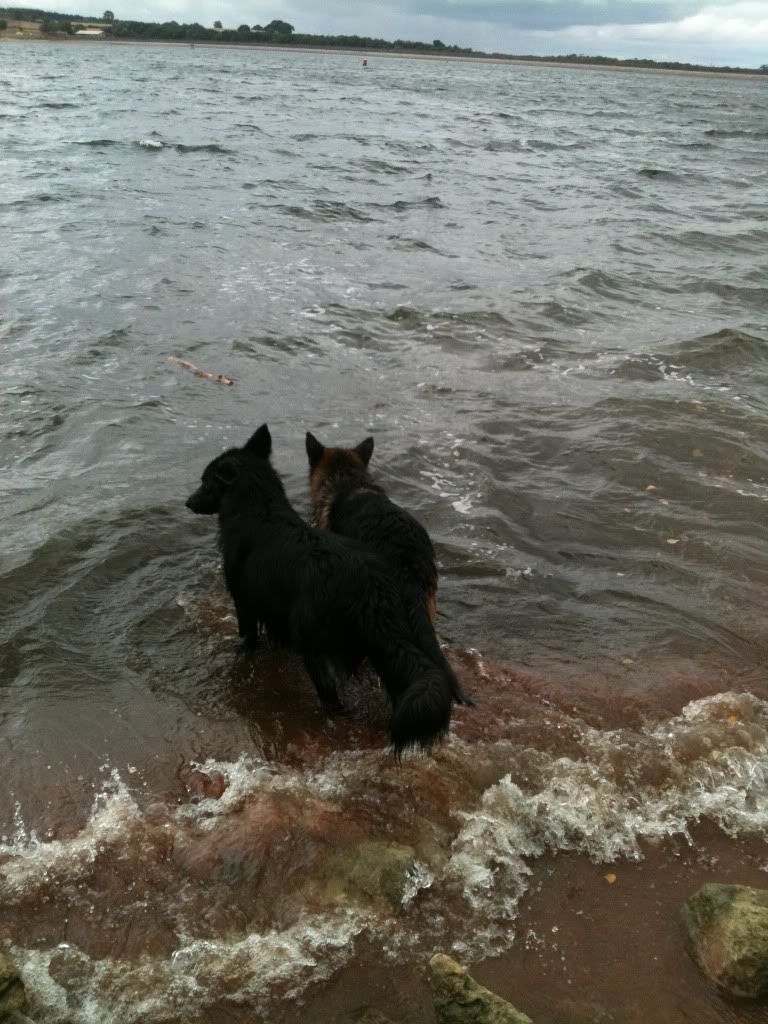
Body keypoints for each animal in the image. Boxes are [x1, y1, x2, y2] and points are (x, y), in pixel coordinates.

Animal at [189, 423, 473, 753]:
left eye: (205, 482)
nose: (187, 502)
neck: (260, 508)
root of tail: (372, 592)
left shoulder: (244, 602)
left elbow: (247, 635)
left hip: (314, 646)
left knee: (333, 698)